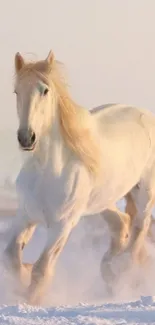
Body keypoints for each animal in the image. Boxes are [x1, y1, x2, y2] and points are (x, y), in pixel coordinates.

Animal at [4, 50, 155, 304]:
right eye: (16, 91)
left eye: (45, 90)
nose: (26, 138)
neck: (47, 171)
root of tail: (145, 114)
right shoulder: (25, 216)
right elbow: (11, 258)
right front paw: (22, 278)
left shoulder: (62, 225)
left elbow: (41, 269)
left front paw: (31, 299)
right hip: (102, 200)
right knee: (121, 222)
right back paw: (109, 270)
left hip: (143, 191)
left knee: (139, 226)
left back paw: (121, 270)